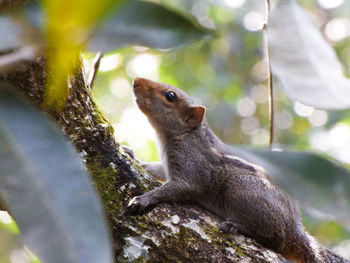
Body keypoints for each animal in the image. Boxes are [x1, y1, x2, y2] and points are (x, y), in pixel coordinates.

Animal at [126, 78, 348, 263]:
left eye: (170, 96)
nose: (136, 81)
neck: (184, 134)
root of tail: (296, 228)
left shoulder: (192, 165)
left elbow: (180, 186)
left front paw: (144, 198)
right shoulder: (169, 164)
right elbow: (158, 170)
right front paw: (133, 155)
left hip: (241, 190)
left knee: (274, 236)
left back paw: (237, 225)